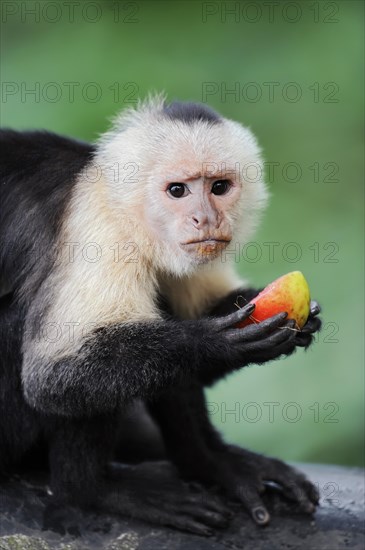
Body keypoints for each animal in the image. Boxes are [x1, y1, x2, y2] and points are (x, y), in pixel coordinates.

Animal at [0, 97, 318, 536]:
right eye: (177, 191)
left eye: (219, 187)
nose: (206, 219)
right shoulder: (100, 231)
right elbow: (54, 378)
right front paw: (213, 343)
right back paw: (94, 492)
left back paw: (210, 462)